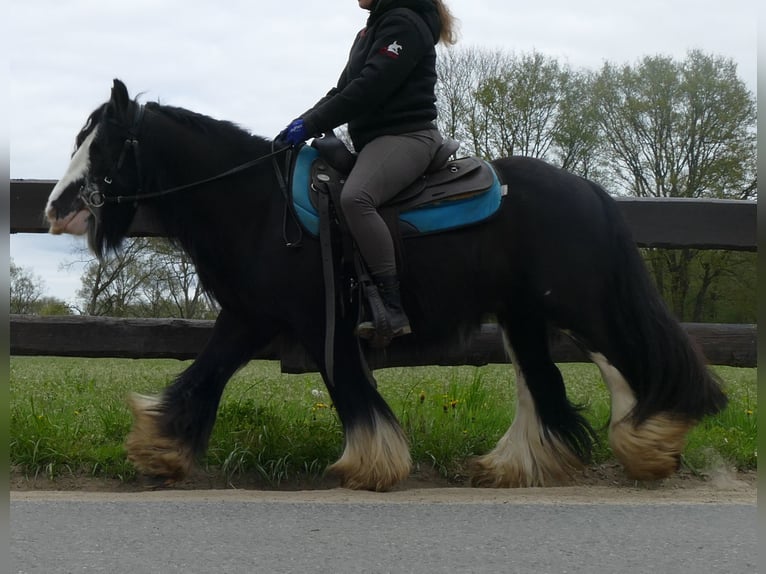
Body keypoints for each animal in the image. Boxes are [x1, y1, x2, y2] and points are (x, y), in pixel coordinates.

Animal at [45, 81, 728, 492]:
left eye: (105, 145)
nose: (56, 208)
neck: (260, 205)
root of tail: (588, 189)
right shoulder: (247, 318)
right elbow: (201, 379)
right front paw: (159, 449)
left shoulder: (320, 320)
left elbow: (349, 386)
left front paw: (374, 463)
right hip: (523, 315)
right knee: (545, 385)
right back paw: (521, 463)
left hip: (574, 302)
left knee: (624, 359)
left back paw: (650, 441)